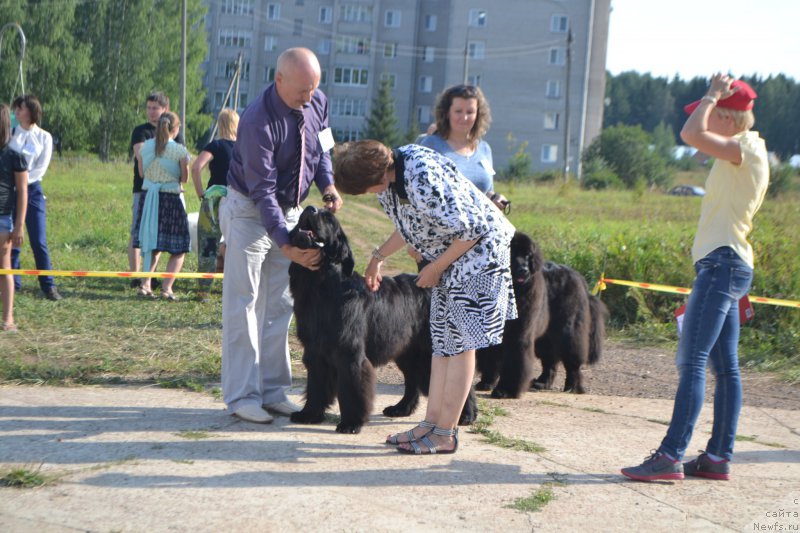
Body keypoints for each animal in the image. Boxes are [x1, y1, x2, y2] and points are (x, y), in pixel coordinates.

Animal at [288, 206, 476, 434]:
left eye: (328, 218)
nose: (310, 208)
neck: (320, 284)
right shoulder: (314, 351)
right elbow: (316, 385)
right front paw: (309, 414)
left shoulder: (349, 352)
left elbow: (351, 389)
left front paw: (351, 423)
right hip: (407, 351)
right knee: (412, 381)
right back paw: (401, 409)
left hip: (432, 348)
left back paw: (467, 415)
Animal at [476, 232, 608, 394]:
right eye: (512, 253)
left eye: (528, 255)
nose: (524, 270)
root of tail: (578, 278)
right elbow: (490, 357)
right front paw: (486, 382)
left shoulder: (519, 332)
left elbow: (515, 358)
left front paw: (505, 391)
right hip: (546, 336)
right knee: (550, 361)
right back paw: (541, 383)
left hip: (568, 331)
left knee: (572, 361)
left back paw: (572, 386)